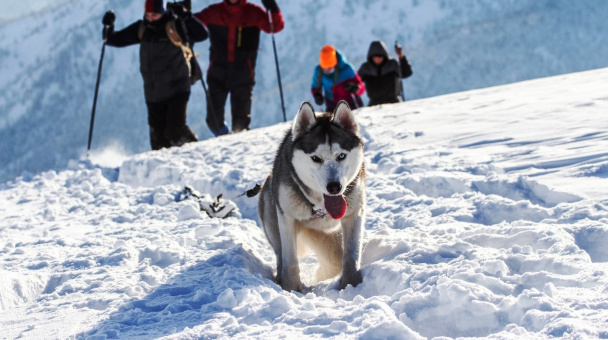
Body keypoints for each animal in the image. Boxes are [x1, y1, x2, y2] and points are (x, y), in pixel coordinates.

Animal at [258, 101, 366, 292]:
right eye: (315, 158)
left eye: (341, 155)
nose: (334, 186)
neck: (319, 206)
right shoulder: (287, 218)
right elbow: (290, 261)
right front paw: (291, 289)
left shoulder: (355, 214)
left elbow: (351, 255)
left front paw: (350, 284)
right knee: (281, 258)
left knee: (335, 260)